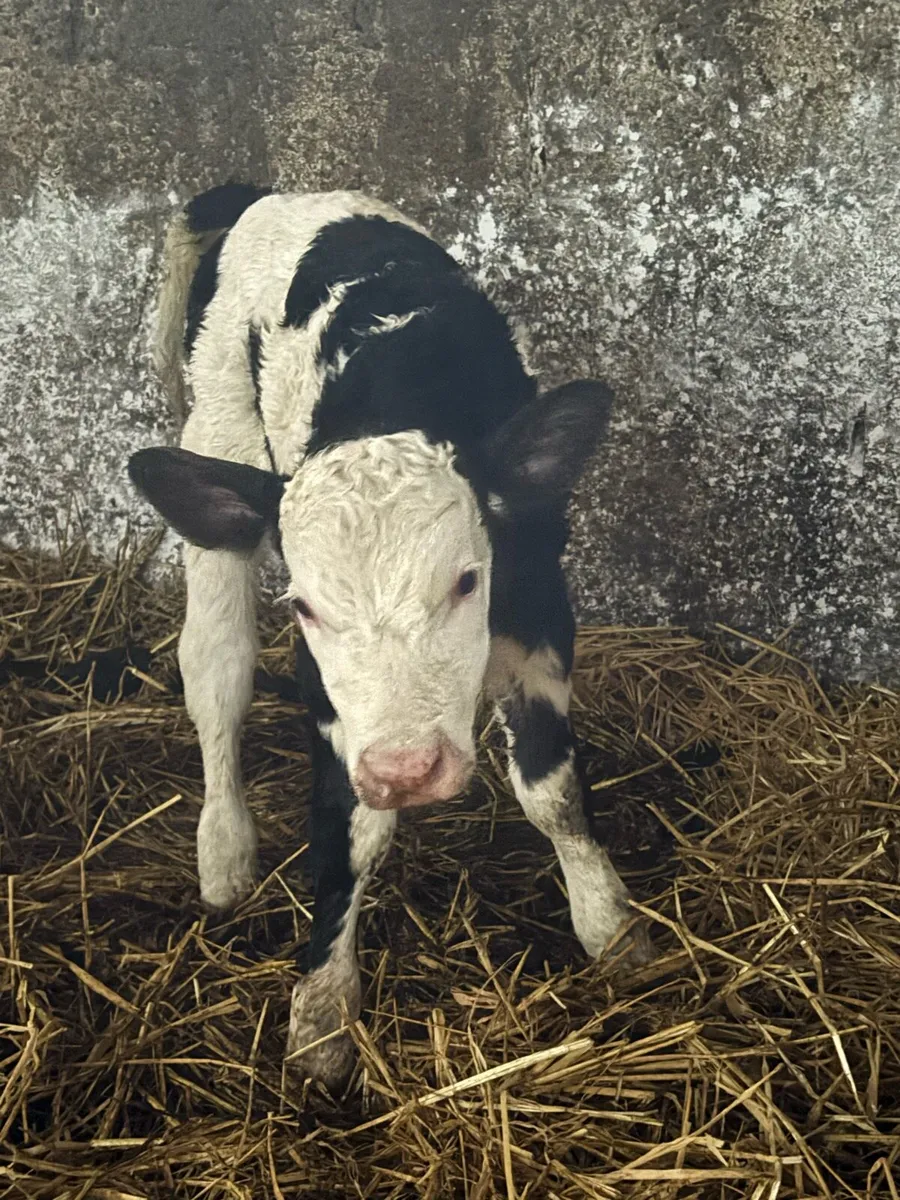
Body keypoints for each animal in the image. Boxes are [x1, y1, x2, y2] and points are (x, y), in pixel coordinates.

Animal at [128, 184, 652, 1087]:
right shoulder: (330, 694)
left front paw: (610, 926)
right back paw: (224, 855)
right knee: (216, 671)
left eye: (468, 580)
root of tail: (264, 193)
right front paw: (321, 1011)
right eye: (305, 607)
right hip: (217, 437)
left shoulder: (538, 605)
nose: (407, 770)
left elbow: (551, 790)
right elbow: (350, 826)